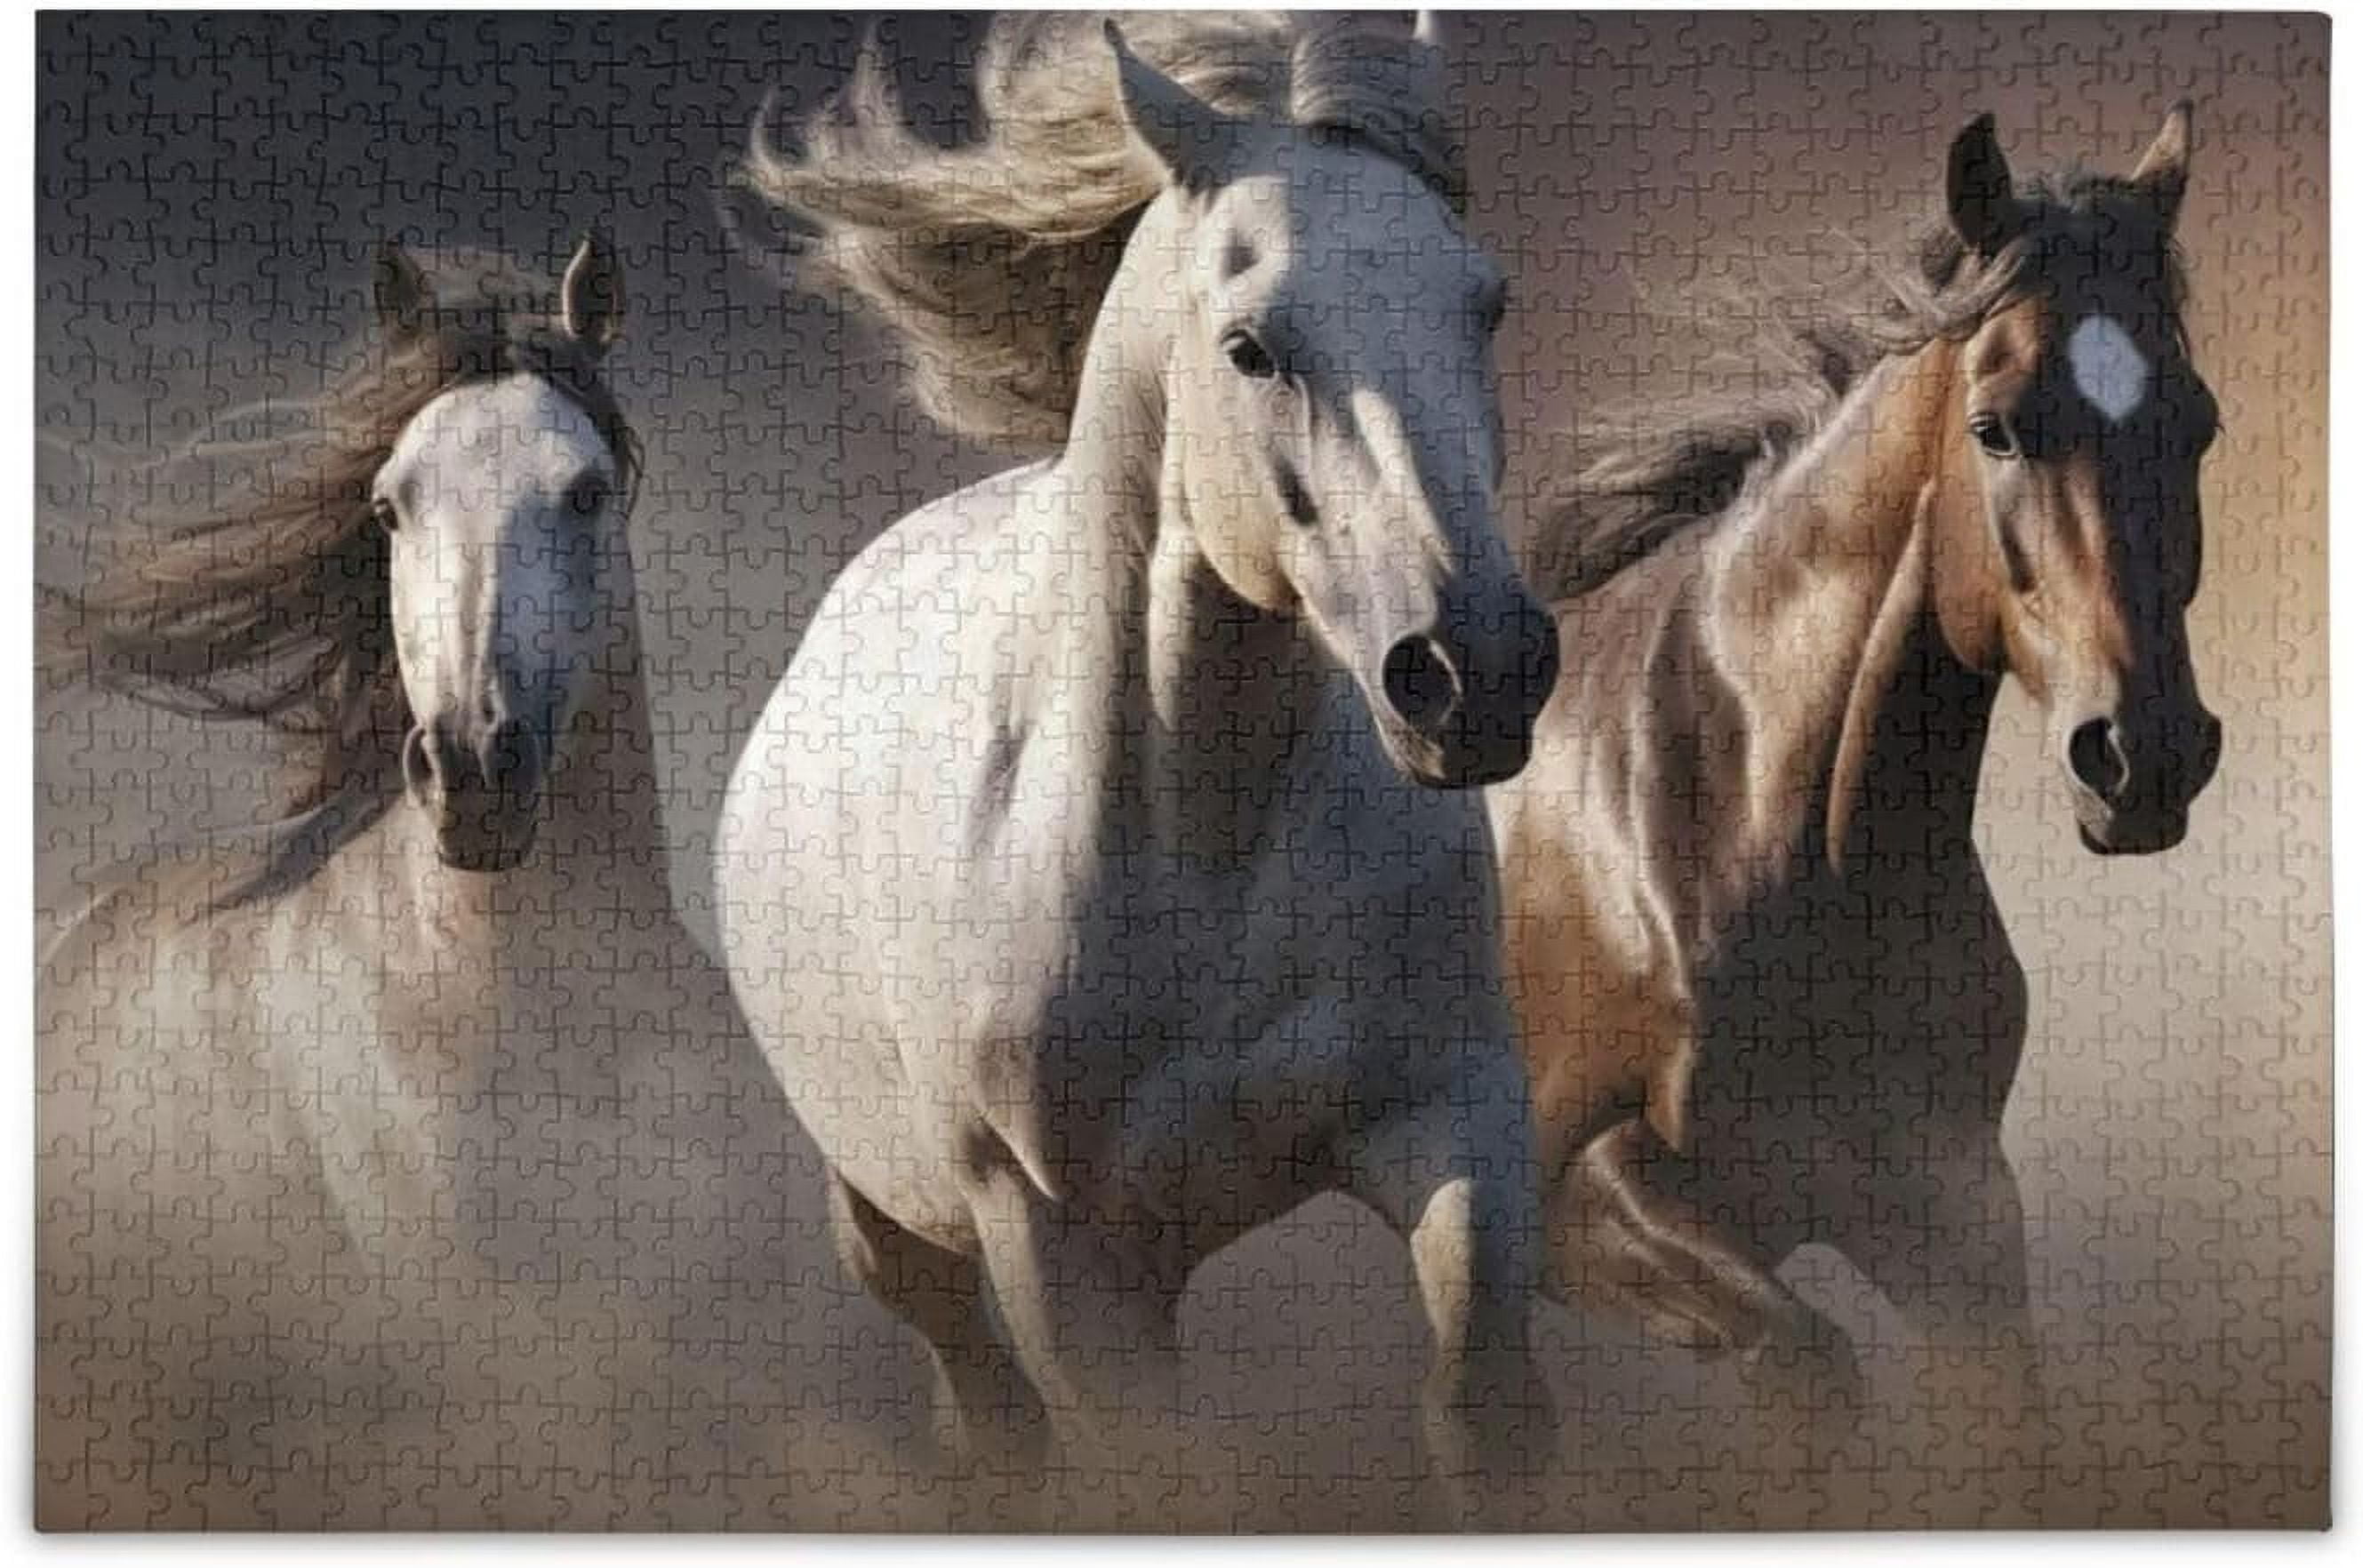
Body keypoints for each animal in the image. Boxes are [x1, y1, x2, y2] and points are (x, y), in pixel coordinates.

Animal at [718, 12, 1559, 1525]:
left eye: (1486, 303)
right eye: (1250, 347)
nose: (1474, 671)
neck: (1198, 851)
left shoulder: (1453, 1124)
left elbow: (1478, 1406)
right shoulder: (1060, 1254)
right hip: (899, 1231)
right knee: (983, 1407)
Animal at [1489, 106, 2220, 1500]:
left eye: (2197, 421)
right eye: (1995, 427)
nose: (2145, 756)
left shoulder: (1955, 1228)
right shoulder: (1570, 1196)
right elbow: (1810, 1367)